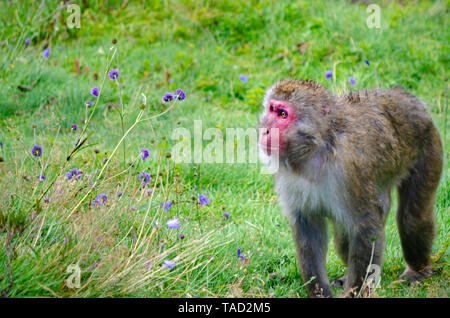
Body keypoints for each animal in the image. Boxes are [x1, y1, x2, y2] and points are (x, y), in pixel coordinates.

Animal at [258, 79, 444, 298]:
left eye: (283, 114)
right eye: (272, 109)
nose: (265, 130)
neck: (317, 149)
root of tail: (404, 95)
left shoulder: (349, 169)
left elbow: (365, 227)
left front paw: (354, 292)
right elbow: (308, 226)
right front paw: (320, 292)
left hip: (428, 146)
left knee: (412, 217)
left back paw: (418, 270)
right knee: (344, 235)